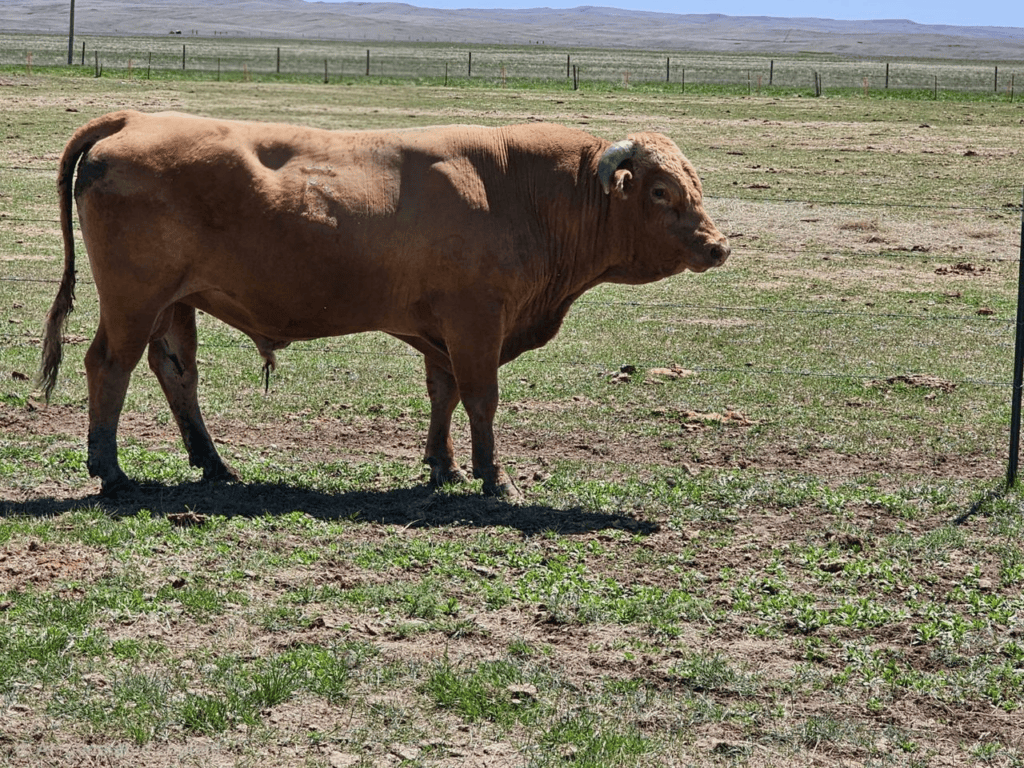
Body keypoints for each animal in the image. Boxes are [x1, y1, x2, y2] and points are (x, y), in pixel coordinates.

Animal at [39, 110, 730, 499]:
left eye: (693, 183)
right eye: (661, 191)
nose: (717, 245)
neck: (518, 187)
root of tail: (132, 119)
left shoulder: (442, 332)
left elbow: (443, 395)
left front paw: (444, 468)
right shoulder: (476, 323)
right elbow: (481, 398)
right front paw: (495, 478)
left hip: (174, 303)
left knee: (177, 374)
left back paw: (215, 467)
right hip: (134, 299)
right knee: (109, 366)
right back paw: (110, 471)